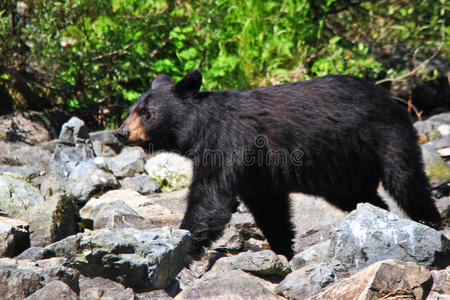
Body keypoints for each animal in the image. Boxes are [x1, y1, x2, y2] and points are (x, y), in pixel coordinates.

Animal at [114, 69, 442, 258]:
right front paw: (284, 250)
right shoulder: (256, 173)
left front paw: (182, 244)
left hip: (386, 136)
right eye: (132, 110)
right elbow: (269, 209)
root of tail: (388, 96)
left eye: (147, 113)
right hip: (346, 170)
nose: (120, 132)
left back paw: (429, 222)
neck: (198, 129)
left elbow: (210, 199)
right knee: (362, 197)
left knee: (406, 180)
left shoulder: (228, 144)